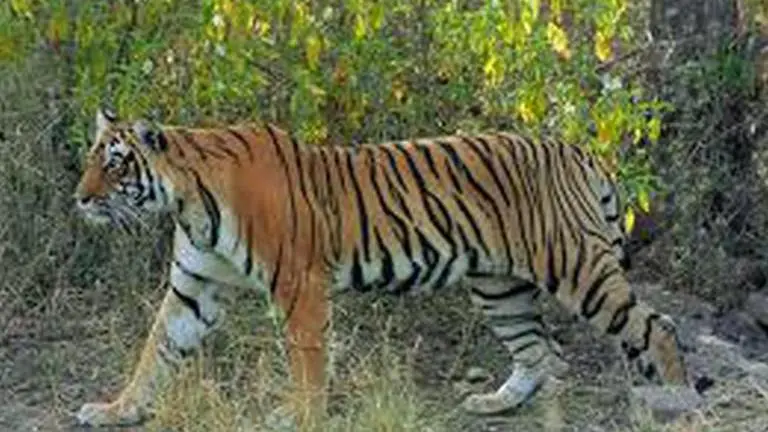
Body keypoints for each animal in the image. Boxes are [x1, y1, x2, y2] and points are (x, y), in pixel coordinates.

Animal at [73, 108, 699, 428]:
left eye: (116, 164)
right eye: (91, 160)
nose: (79, 198)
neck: (188, 200)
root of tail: (580, 150)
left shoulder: (300, 286)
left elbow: (307, 362)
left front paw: (302, 415)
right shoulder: (194, 287)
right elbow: (155, 352)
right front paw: (116, 410)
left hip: (577, 269)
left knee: (657, 326)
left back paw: (678, 402)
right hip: (499, 287)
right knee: (540, 351)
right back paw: (497, 403)